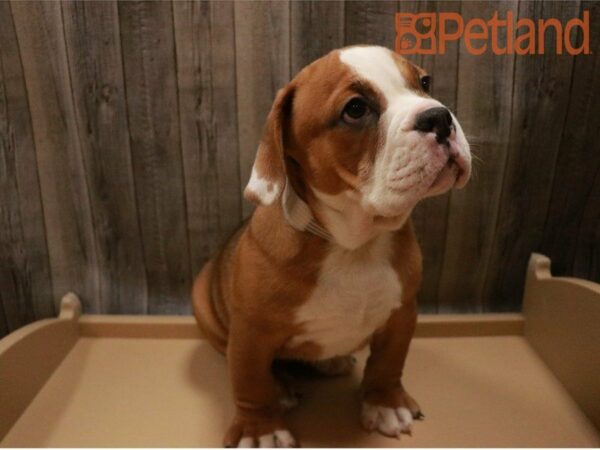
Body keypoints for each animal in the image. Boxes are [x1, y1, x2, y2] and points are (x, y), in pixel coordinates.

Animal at [191, 44, 468, 446]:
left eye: (425, 83)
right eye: (355, 108)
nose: (438, 116)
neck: (354, 242)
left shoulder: (401, 314)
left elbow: (388, 363)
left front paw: (385, 403)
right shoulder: (249, 334)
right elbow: (251, 382)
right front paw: (261, 429)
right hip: (204, 305)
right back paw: (282, 388)